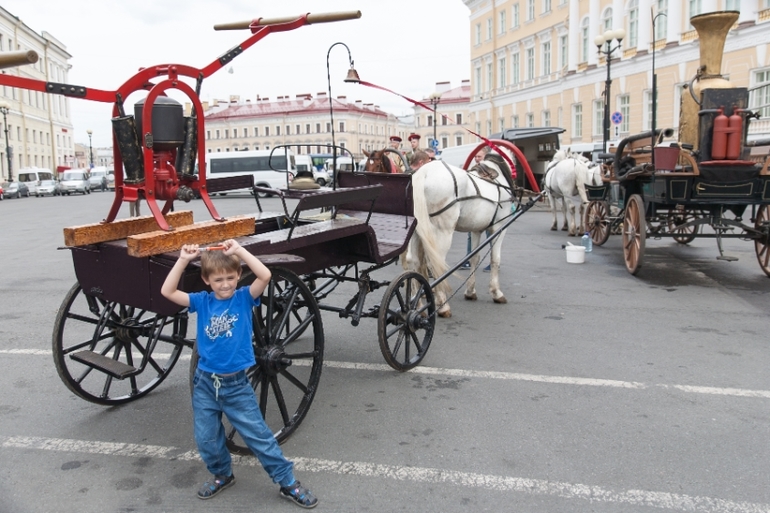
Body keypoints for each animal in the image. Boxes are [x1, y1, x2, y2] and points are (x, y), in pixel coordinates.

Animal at [406, 153, 515, 318]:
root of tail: (422, 173)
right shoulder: (499, 227)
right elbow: (495, 259)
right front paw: (496, 292)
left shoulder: (476, 229)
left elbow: (474, 257)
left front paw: (470, 291)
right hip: (442, 232)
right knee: (435, 264)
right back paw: (443, 306)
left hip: (417, 231)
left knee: (414, 262)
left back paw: (417, 306)